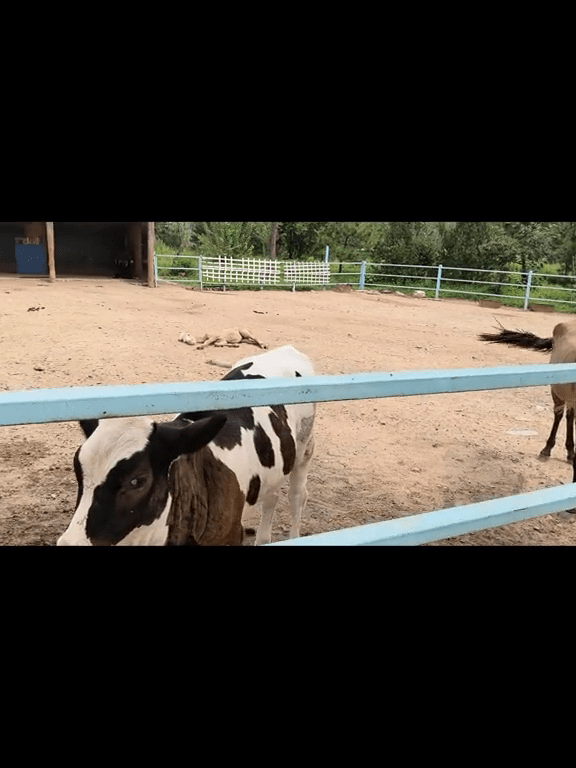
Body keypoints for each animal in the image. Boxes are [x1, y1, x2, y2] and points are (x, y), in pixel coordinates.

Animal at [57, 344, 316, 548]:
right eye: (78, 471)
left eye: (137, 481)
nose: (71, 543)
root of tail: (287, 349)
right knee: (272, 496)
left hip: (305, 448)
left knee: (297, 496)